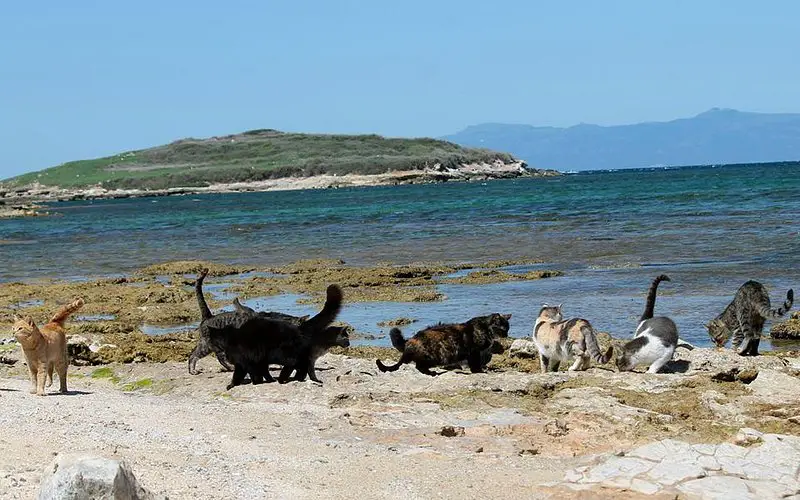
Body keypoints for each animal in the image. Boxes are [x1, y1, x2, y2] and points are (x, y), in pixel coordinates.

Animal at [206, 284, 344, 388]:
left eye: (211, 338)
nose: (209, 344)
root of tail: (299, 328)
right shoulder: (256, 360)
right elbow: (258, 372)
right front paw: (262, 380)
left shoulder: (246, 361)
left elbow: (244, 374)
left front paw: (237, 384)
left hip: (284, 353)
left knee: (297, 365)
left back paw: (286, 378)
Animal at [376, 312, 512, 376]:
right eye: (502, 329)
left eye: (508, 328)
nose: (506, 335)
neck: (485, 328)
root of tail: (410, 341)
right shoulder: (474, 352)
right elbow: (475, 363)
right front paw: (478, 371)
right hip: (433, 356)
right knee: (419, 366)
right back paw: (431, 373)